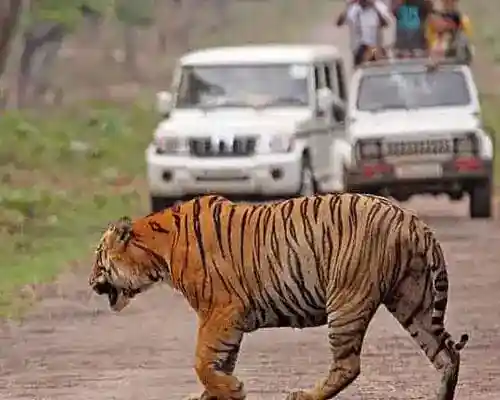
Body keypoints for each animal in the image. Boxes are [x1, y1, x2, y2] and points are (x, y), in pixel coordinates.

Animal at [89, 192, 468, 398]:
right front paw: (216, 392)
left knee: (348, 365)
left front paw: (233, 390)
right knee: (446, 354)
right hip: (413, 301)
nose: (91, 281)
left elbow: (202, 362)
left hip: (347, 300)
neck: (157, 251)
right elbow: (216, 364)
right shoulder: (227, 321)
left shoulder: (220, 312)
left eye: (98, 257)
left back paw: (303, 395)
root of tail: (412, 220)